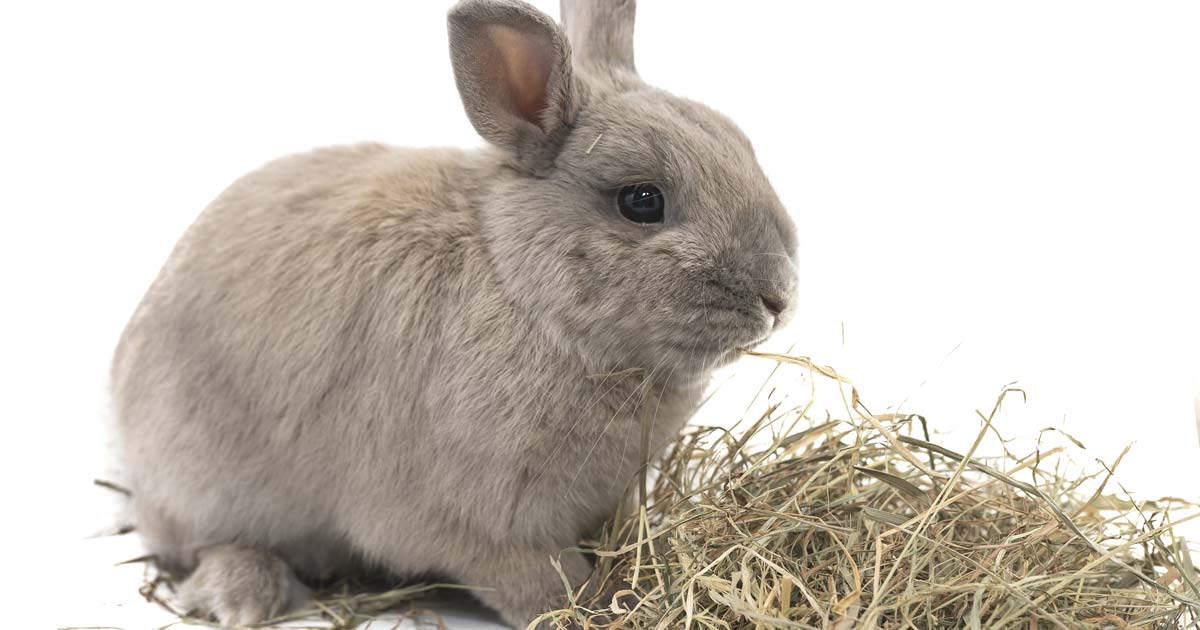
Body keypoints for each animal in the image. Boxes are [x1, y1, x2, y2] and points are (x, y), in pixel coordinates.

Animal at [110, 0, 796, 624]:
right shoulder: (483, 524)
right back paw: (247, 594)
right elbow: (537, 577)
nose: (781, 296)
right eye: (642, 201)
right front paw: (594, 603)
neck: (522, 290)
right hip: (200, 483)